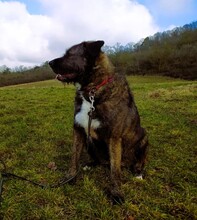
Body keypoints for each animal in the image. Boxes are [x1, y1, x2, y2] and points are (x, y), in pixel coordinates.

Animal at [48, 40, 148, 204]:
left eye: (69, 54)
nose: (49, 62)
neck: (92, 91)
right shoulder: (79, 130)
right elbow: (74, 157)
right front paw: (70, 178)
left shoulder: (114, 137)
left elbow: (115, 171)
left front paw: (116, 193)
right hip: (90, 141)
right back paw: (91, 164)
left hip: (144, 136)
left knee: (137, 161)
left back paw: (138, 173)